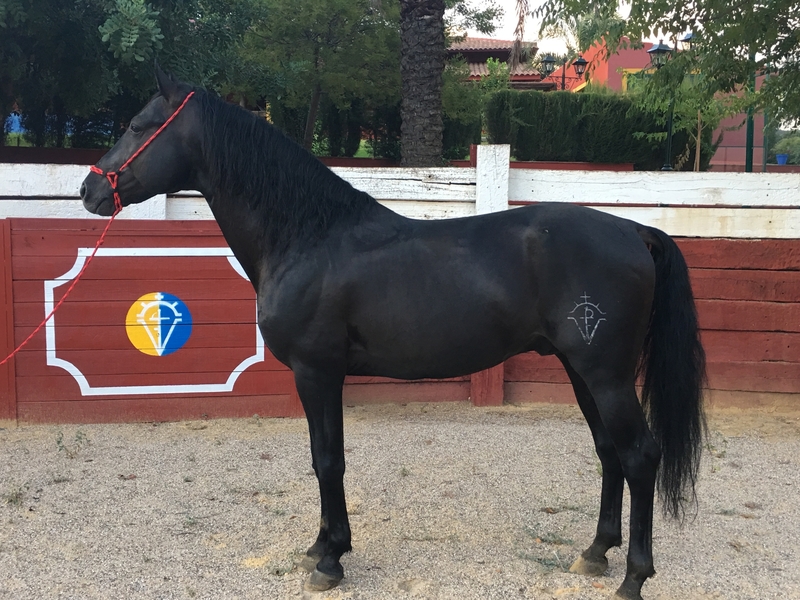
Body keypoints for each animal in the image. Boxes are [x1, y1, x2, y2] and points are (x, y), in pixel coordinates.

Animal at [80, 67, 706, 600]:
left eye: (138, 125)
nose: (90, 190)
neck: (308, 237)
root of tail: (634, 231)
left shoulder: (317, 371)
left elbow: (328, 460)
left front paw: (331, 560)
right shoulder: (318, 375)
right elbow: (320, 456)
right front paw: (321, 546)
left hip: (606, 375)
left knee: (639, 455)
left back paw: (633, 577)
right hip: (582, 371)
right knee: (609, 452)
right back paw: (596, 552)